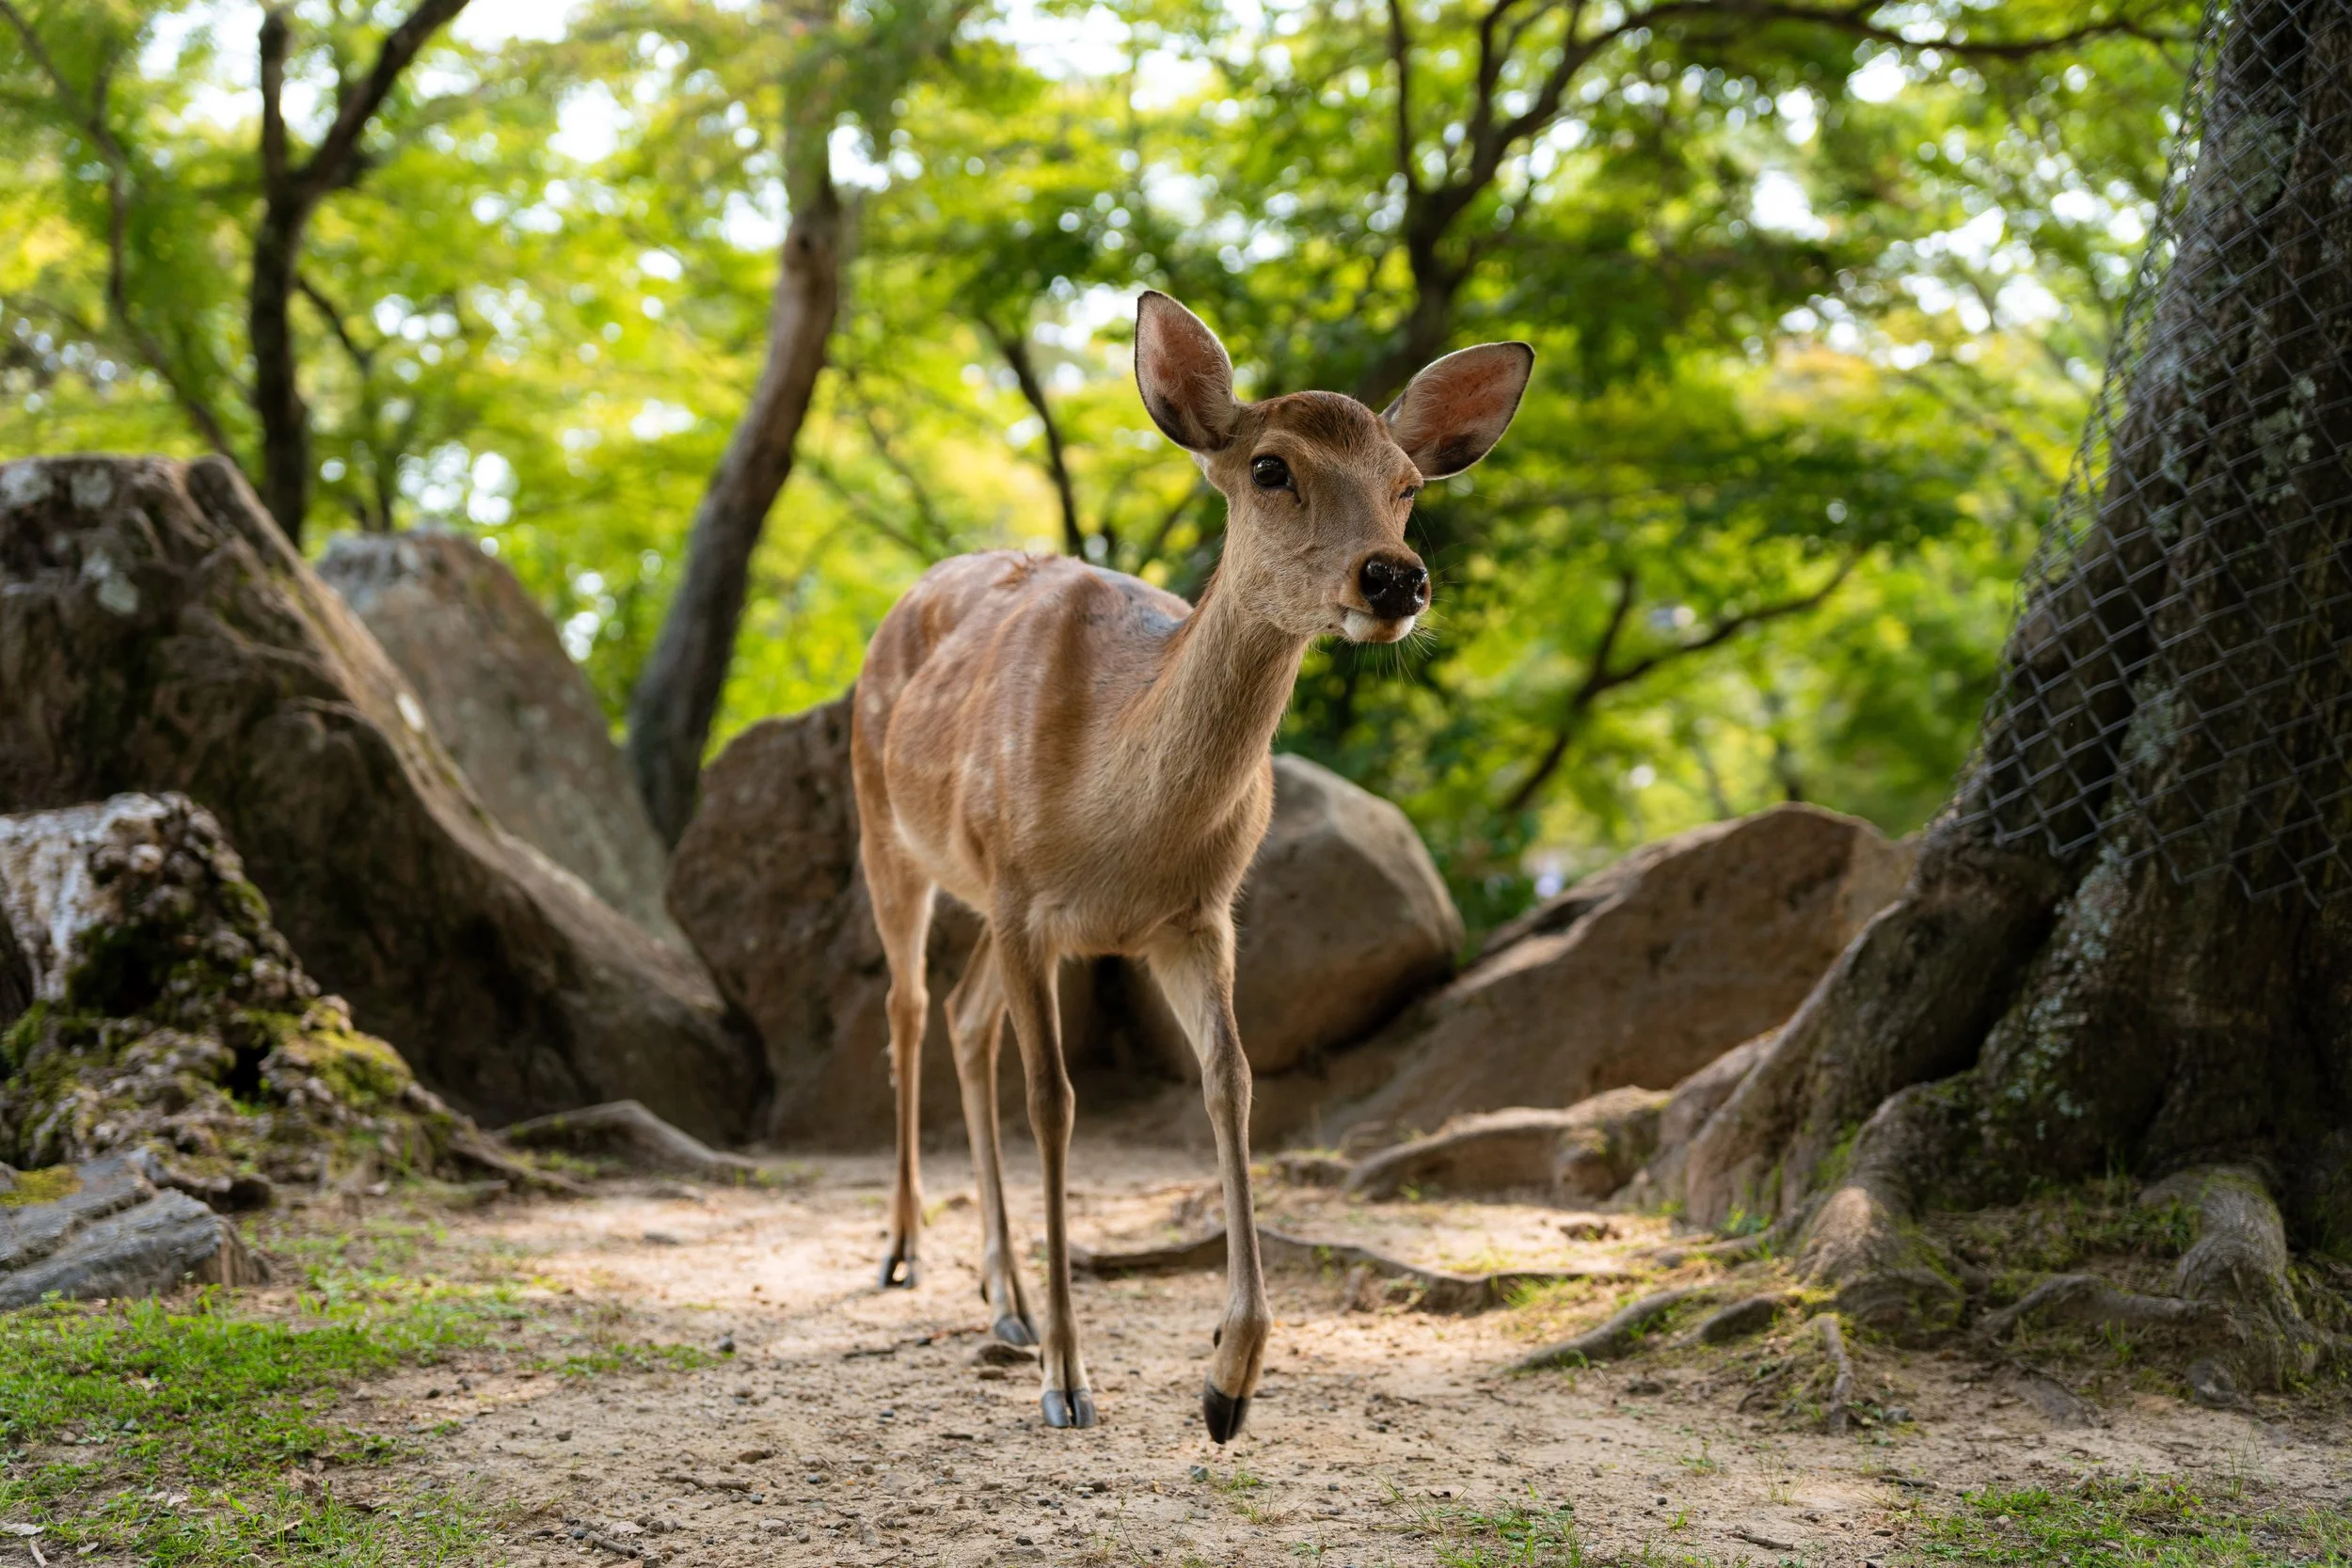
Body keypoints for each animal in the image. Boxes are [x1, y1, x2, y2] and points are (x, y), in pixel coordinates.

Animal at [850, 291, 1532, 1439]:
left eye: (1406, 484)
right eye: (1269, 466)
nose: (1395, 576)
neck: (1120, 825)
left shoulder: (1195, 914)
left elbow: (1233, 1080)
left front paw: (1228, 1381)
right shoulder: (1027, 900)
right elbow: (1055, 1100)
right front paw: (1071, 1380)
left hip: (993, 904)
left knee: (965, 1014)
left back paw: (1004, 1295)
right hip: (887, 826)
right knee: (905, 1002)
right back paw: (906, 1253)